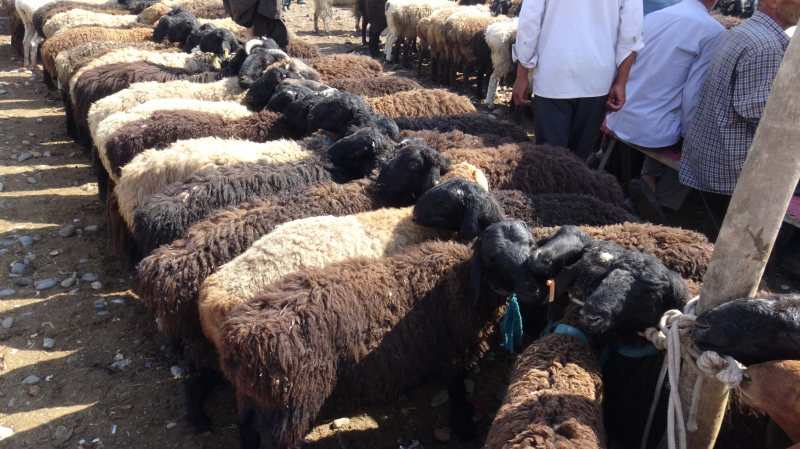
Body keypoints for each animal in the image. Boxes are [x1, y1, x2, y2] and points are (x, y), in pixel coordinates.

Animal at [218, 220, 544, 448]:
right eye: (492, 257)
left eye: (531, 246)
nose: (534, 287)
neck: (460, 281)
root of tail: (236, 339)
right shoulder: (455, 353)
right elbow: (458, 391)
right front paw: (464, 428)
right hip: (293, 401)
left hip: (261, 395)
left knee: (246, 423)